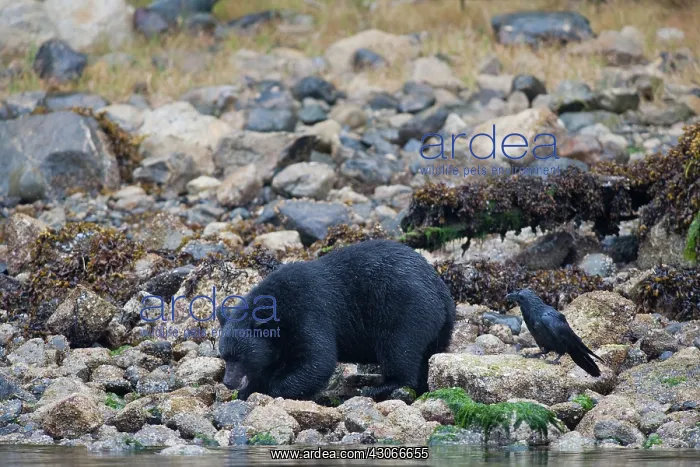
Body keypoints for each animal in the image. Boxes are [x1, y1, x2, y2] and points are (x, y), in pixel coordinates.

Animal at [217, 239, 455, 401]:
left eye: (240, 357)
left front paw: (271, 388)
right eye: (224, 357)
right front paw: (249, 389)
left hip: (406, 311)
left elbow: (318, 359)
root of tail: (441, 290)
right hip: (441, 327)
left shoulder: (308, 312)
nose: (228, 382)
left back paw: (380, 387)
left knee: (399, 349)